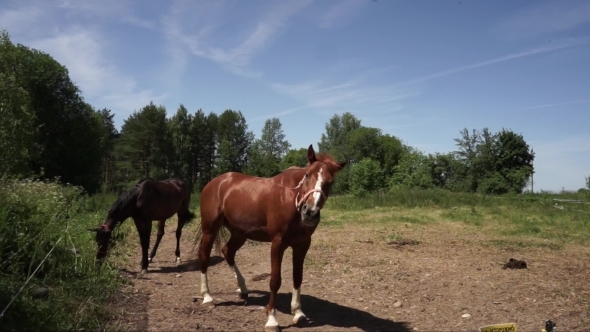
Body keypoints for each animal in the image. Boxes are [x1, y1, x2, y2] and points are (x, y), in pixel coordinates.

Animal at [198, 145, 346, 330]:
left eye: (330, 181)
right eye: (307, 175)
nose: (310, 212)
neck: (292, 199)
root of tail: (215, 183)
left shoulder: (302, 245)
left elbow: (298, 277)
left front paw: (298, 312)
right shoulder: (277, 244)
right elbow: (275, 280)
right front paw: (272, 319)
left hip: (240, 233)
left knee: (228, 252)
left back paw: (243, 289)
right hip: (209, 230)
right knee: (204, 257)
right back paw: (207, 297)